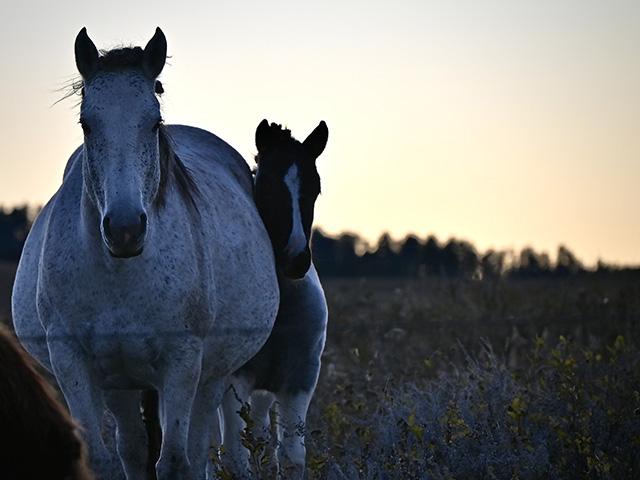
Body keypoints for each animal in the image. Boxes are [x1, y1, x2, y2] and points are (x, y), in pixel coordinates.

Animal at [11, 28, 279, 479]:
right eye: (86, 124)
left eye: (154, 123)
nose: (124, 229)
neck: (121, 275)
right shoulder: (72, 362)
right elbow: (104, 458)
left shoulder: (183, 362)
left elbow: (174, 460)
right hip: (120, 383)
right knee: (133, 449)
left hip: (211, 376)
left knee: (198, 450)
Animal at [220, 120, 329, 478]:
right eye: (265, 185)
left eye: (315, 188)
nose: (295, 259)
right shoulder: (234, 380)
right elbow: (236, 459)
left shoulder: (299, 381)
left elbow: (292, 455)